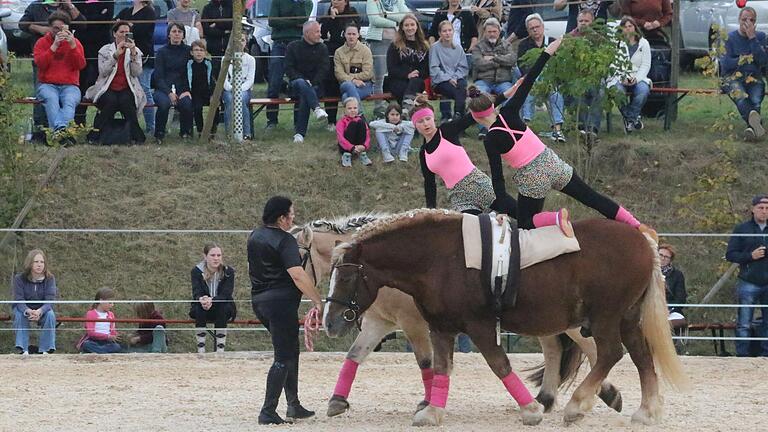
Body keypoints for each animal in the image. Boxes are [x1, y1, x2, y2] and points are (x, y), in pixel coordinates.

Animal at [324, 208, 688, 426]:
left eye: (347, 276)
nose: (329, 321)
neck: (440, 259)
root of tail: (641, 239)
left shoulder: (478, 326)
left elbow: (499, 364)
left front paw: (530, 410)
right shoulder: (440, 327)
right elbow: (440, 368)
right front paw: (432, 410)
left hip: (605, 317)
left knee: (611, 352)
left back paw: (577, 404)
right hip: (625, 316)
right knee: (640, 356)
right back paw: (646, 411)